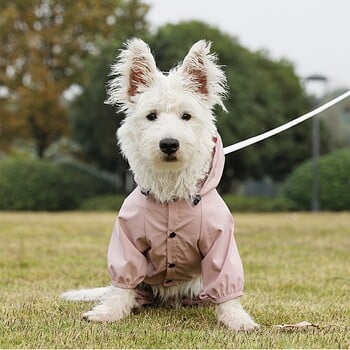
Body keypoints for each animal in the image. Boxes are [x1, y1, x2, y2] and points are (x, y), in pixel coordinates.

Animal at [62, 38, 260, 330]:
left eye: (186, 116)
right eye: (151, 116)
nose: (169, 144)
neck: (171, 193)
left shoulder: (220, 241)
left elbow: (226, 284)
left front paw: (237, 319)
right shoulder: (127, 240)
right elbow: (121, 282)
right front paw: (108, 313)